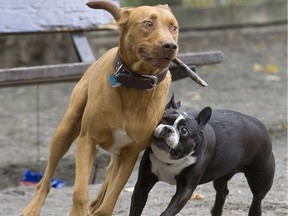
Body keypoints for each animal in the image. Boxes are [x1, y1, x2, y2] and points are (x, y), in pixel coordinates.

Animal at [22, 0, 180, 215]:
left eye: (174, 27)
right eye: (148, 23)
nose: (170, 45)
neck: (134, 84)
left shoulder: (130, 155)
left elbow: (110, 200)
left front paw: (99, 207)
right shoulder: (87, 140)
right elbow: (79, 192)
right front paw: (80, 211)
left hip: (117, 156)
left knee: (108, 179)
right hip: (65, 130)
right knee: (45, 180)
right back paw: (32, 209)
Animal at [129, 95, 276, 216]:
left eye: (184, 130)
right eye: (163, 119)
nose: (167, 129)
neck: (170, 161)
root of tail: (261, 125)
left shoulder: (186, 189)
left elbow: (168, 211)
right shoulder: (143, 183)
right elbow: (136, 208)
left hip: (260, 179)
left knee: (257, 198)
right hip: (222, 175)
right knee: (222, 192)